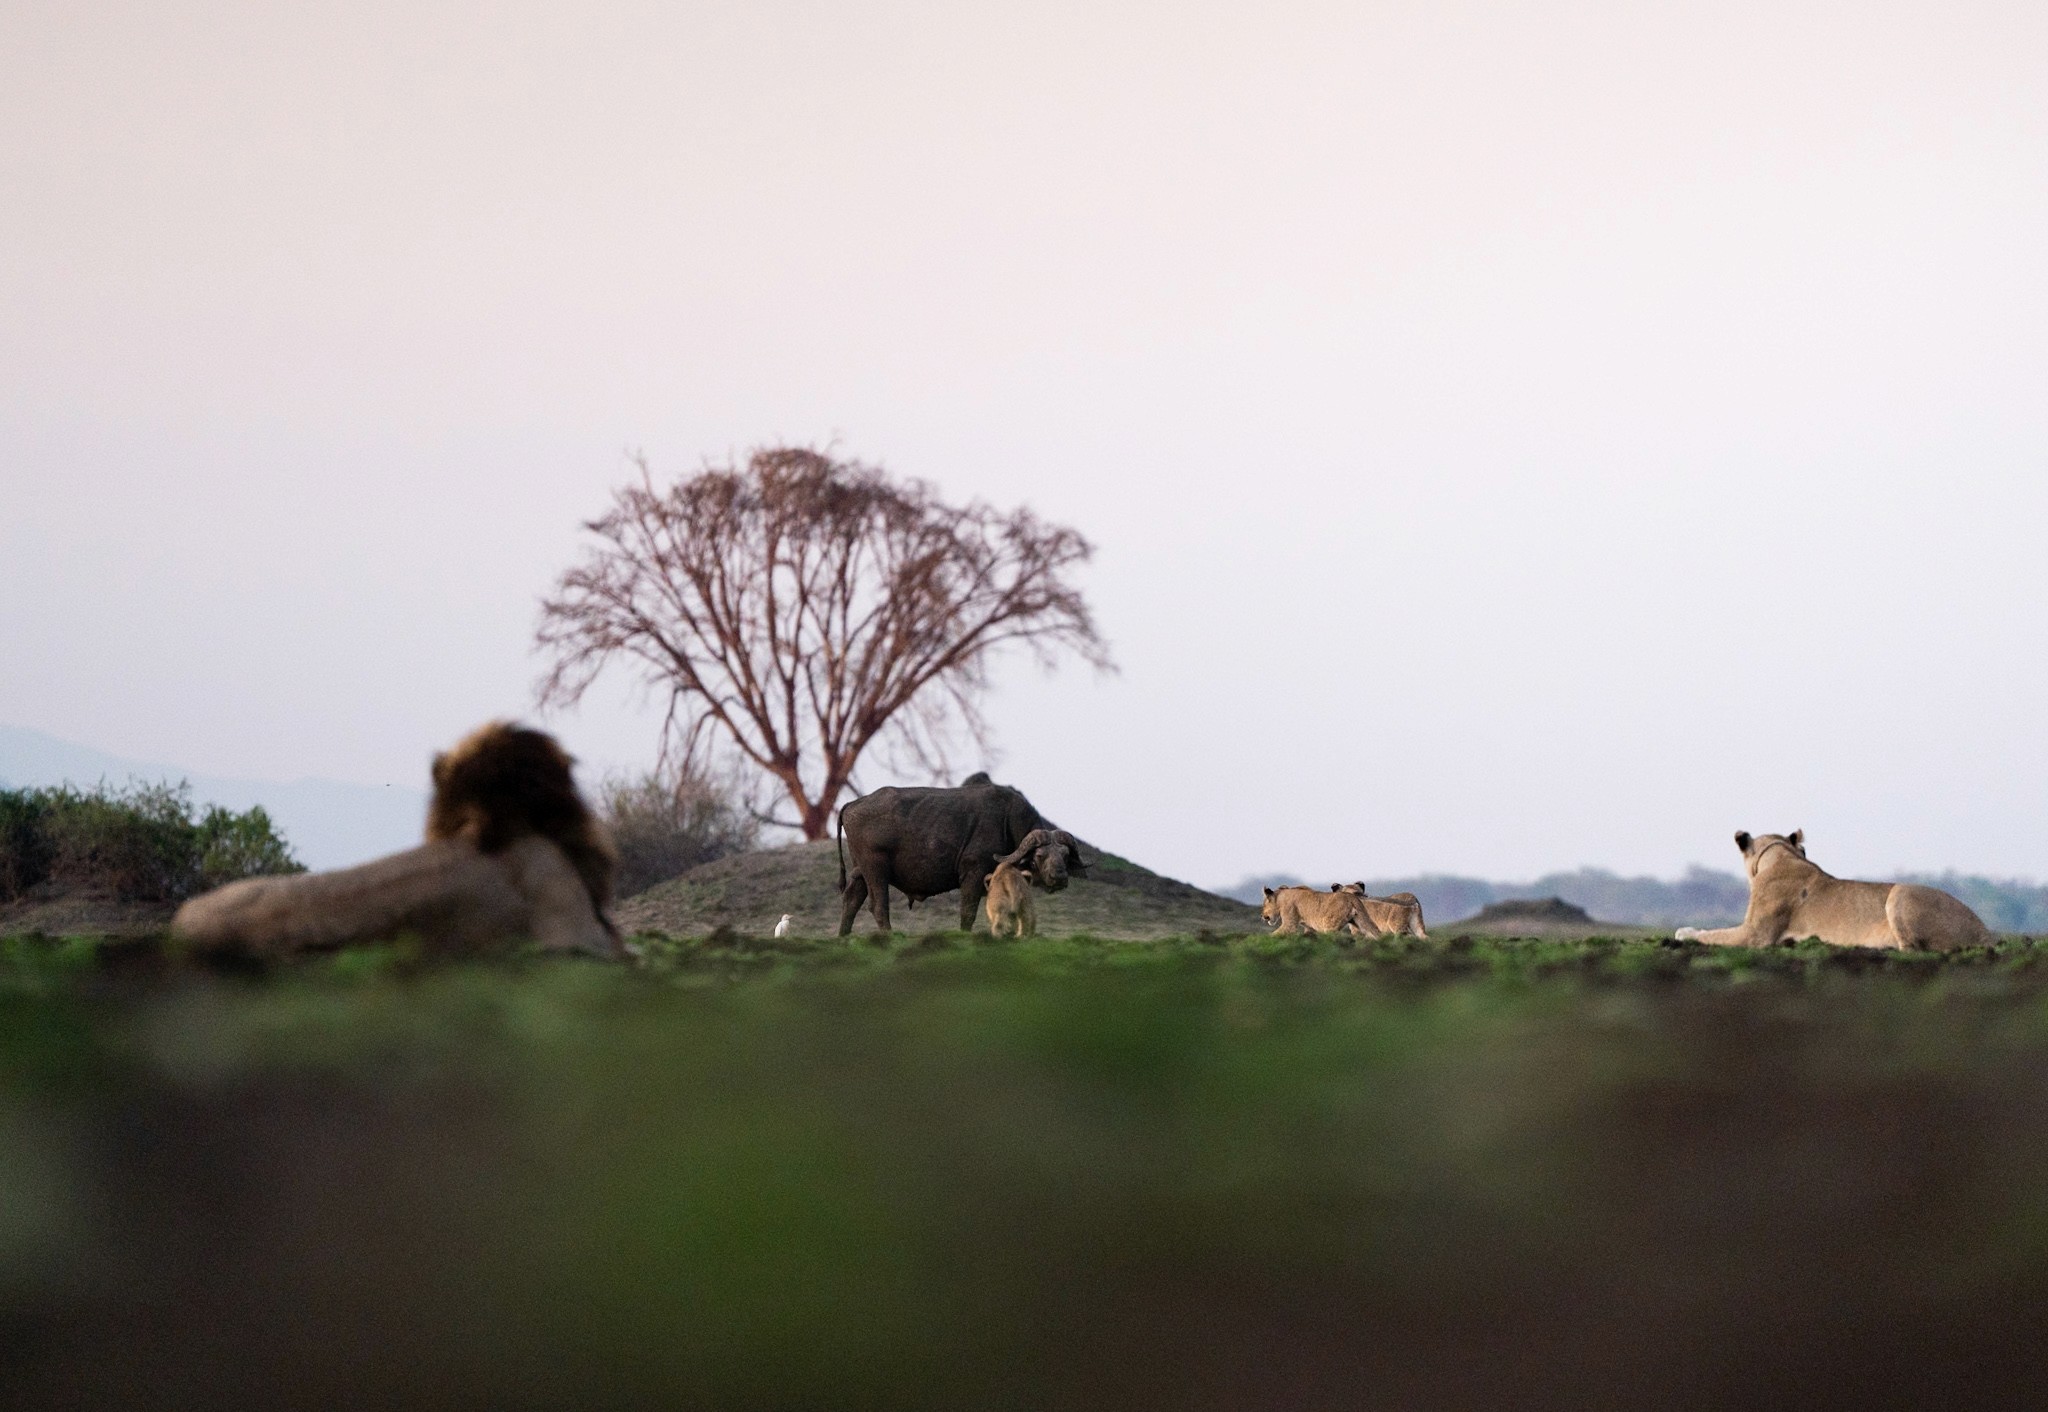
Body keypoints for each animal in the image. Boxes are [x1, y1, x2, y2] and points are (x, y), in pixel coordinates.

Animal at [835, 772, 1087, 935]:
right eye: (1039, 855)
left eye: (1065, 855)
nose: (1060, 877)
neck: (1006, 822)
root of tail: (853, 804)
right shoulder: (972, 875)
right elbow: (968, 913)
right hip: (876, 869)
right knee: (878, 906)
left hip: (860, 871)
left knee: (851, 901)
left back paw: (843, 939)